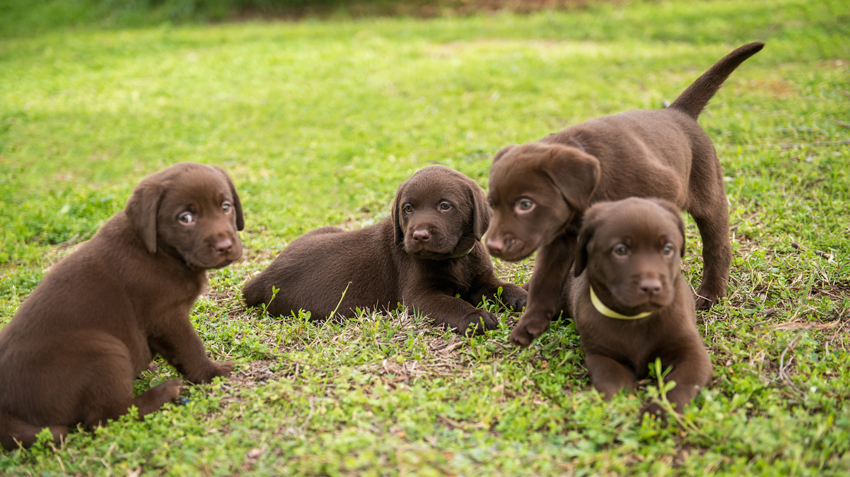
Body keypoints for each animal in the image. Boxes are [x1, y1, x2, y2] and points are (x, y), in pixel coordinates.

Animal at [0, 162, 242, 448]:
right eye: (185, 218)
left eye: (225, 206)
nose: (225, 246)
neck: (161, 251)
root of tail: (5, 410)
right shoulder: (167, 316)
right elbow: (191, 347)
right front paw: (212, 372)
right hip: (105, 351)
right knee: (106, 417)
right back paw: (164, 392)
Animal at [242, 165, 528, 332]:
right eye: (408, 208)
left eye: (445, 206)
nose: (419, 236)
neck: (454, 258)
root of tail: (262, 277)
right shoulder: (420, 297)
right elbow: (452, 304)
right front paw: (475, 316)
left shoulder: (482, 280)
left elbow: (502, 287)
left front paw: (523, 296)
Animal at [484, 42, 760, 344]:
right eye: (492, 204)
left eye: (525, 204)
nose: (492, 246)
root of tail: (678, 112)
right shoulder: (559, 239)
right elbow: (544, 280)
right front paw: (529, 324)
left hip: (709, 195)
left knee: (716, 246)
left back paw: (710, 294)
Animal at [568, 197, 708, 412]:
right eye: (621, 250)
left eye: (667, 249)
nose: (651, 287)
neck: (636, 318)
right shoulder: (601, 355)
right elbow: (611, 382)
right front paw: (621, 407)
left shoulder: (692, 351)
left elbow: (680, 383)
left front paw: (660, 412)